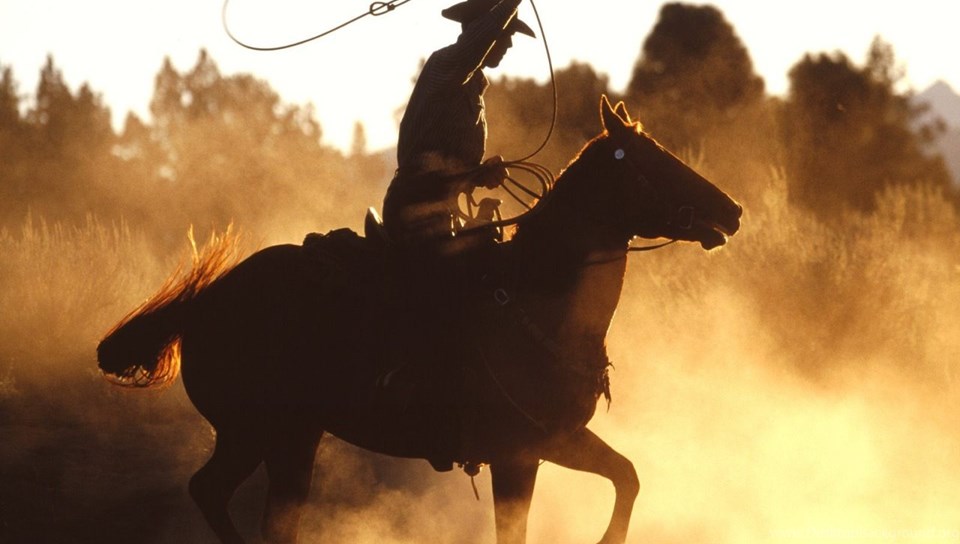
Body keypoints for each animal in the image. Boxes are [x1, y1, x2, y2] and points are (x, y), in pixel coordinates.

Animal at [97, 96, 741, 544]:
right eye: (654, 160)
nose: (732, 210)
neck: (540, 308)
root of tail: (207, 301)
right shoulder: (519, 453)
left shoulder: (551, 444)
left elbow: (626, 475)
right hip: (255, 430)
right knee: (212, 492)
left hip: (292, 437)